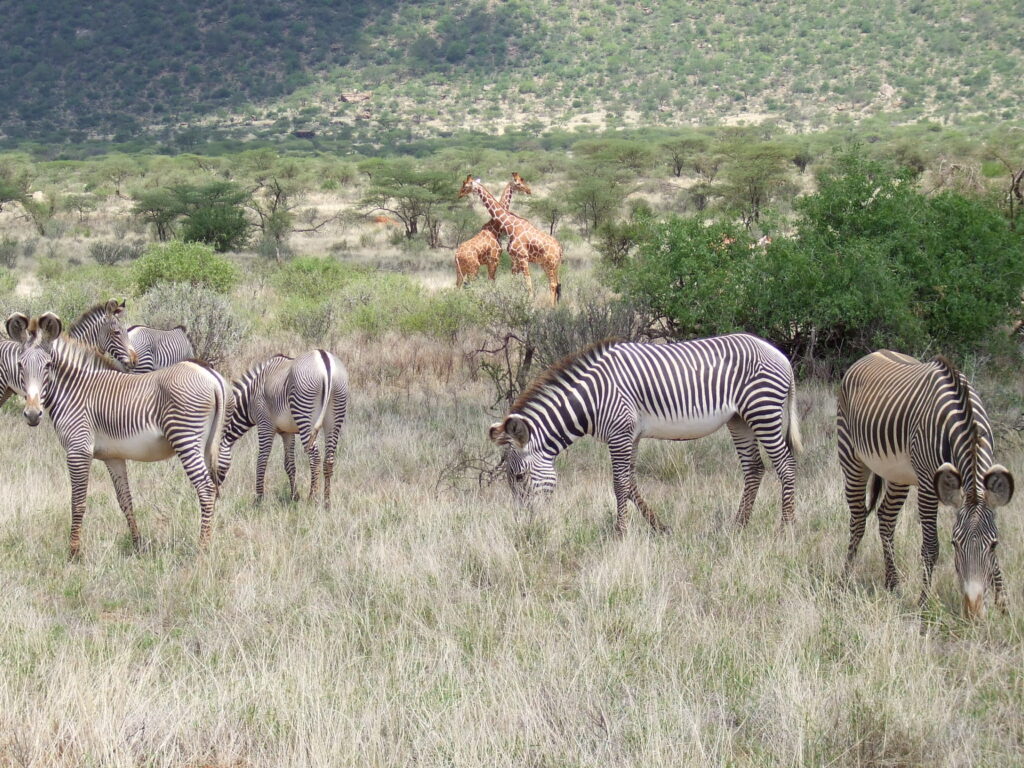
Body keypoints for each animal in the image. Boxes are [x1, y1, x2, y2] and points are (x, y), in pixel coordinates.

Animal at [4, 313, 229, 561]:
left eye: (48, 365)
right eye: (20, 365)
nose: (33, 414)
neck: (72, 391)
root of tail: (209, 374)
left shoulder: (78, 450)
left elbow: (78, 501)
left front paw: (74, 553)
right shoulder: (113, 457)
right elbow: (125, 501)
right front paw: (138, 545)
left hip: (186, 438)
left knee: (206, 489)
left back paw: (202, 549)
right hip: (207, 445)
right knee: (213, 487)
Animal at [216, 348, 348, 505]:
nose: (216, 494)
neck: (250, 399)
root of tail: (324, 358)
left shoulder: (265, 424)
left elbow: (262, 459)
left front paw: (258, 499)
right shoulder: (287, 432)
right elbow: (289, 464)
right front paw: (294, 496)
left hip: (304, 414)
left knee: (315, 457)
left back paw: (312, 499)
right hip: (335, 414)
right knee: (329, 459)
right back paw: (327, 502)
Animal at [460, 176, 565, 305]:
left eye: (466, 185)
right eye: (519, 183)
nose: (460, 194)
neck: (509, 227)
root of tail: (560, 249)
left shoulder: (522, 257)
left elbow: (528, 282)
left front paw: (530, 303)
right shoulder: (514, 258)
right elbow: (513, 282)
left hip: (550, 264)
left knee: (554, 284)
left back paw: (551, 307)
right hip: (549, 264)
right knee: (557, 284)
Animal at [487, 333, 798, 532]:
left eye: (519, 477)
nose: (527, 527)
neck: (592, 398)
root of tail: (780, 355)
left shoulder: (620, 434)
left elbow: (619, 484)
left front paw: (620, 533)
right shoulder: (631, 435)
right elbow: (631, 484)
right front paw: (659, 527)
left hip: (763, 411)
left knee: (786, 465)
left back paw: (786, 528)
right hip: (739, 419)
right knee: (755, 468)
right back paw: (739, 526)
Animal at [835, 350, 1011, 618]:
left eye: (993, 544)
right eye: (954, 543)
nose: (972, 611)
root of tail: (873, 353)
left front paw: (1002, 605)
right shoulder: (928, 484)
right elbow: (931, 546)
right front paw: (924, 604)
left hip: (897, 473)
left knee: (886, 518)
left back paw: (893, 584)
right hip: (852, 457)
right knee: (857, 520)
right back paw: (845, 580)